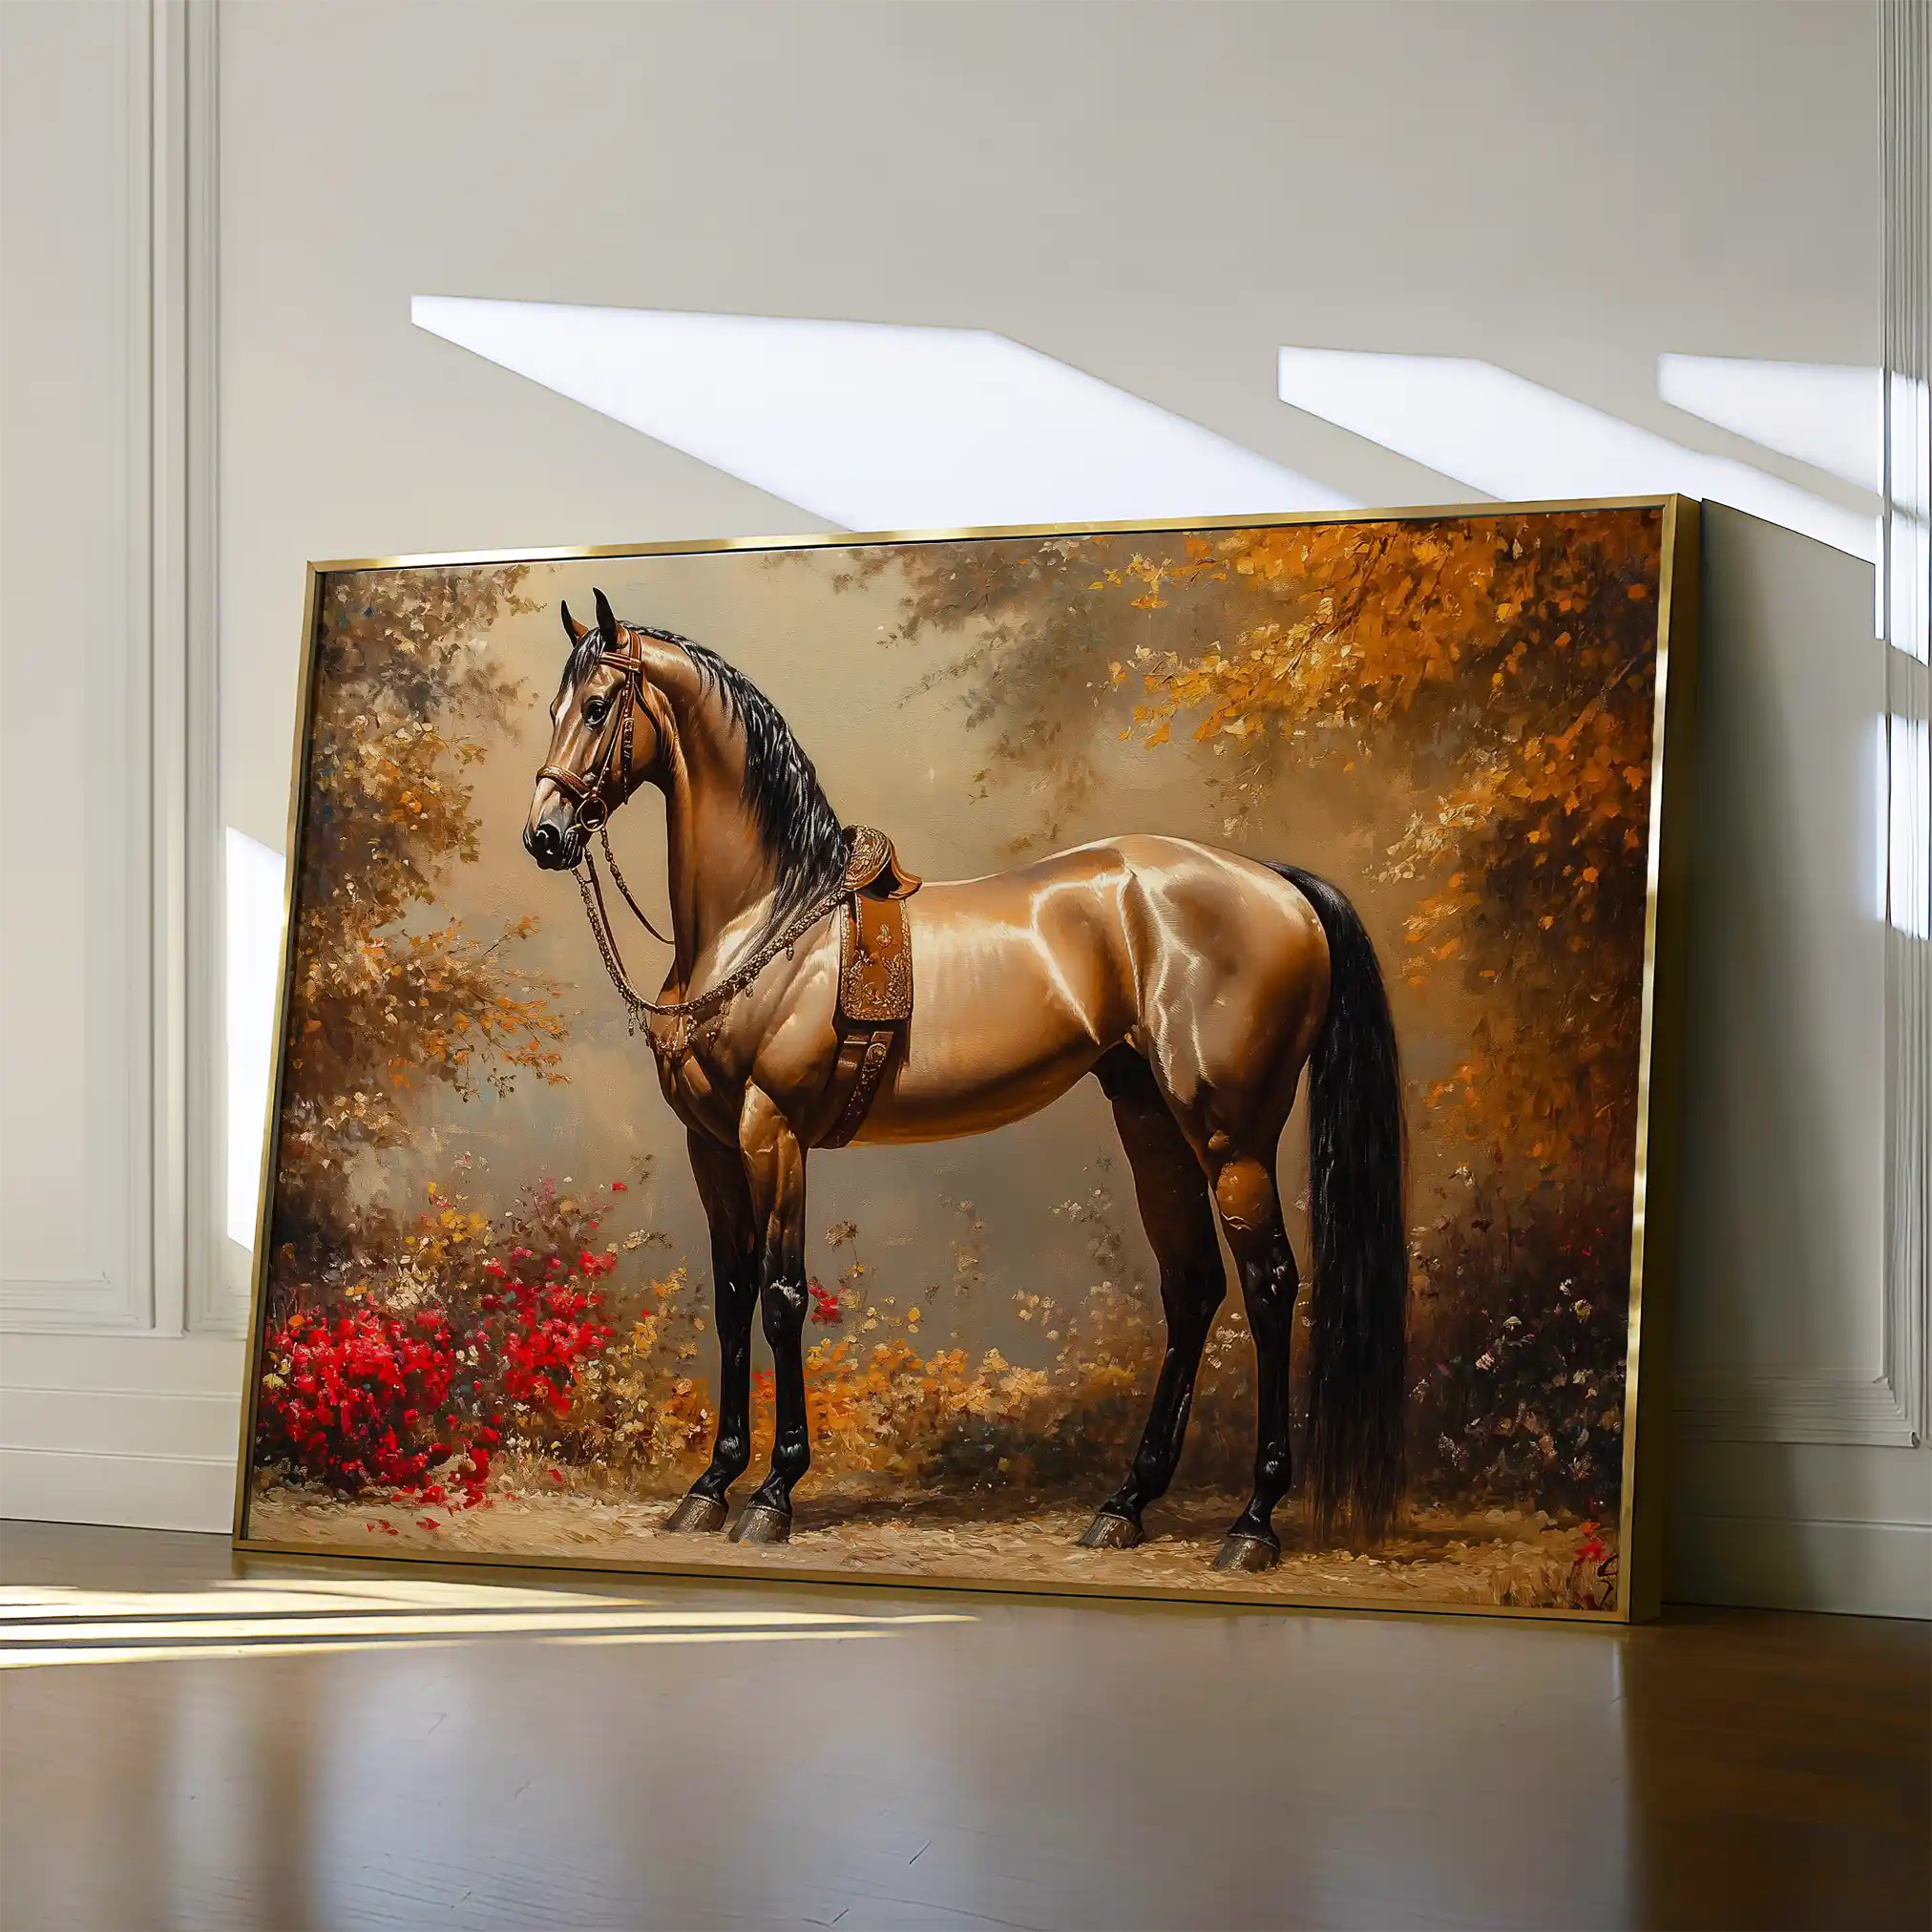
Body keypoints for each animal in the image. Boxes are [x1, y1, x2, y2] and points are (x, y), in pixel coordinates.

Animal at [523, 588, 1408, 1570]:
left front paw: (774, 1493)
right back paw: (1125, 1505)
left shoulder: (772, 1133)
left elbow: (783, 1300)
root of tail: (1278, 884)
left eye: (598, 707)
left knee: (1271, 1286)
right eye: (553, 708)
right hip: (1151, 1121)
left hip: (1233, 1137)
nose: (544, 835)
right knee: (1193, 1288)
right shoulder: (710, 1145)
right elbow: (731, 1296)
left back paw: (1253, 1522)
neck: (764, 918)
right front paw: (709, 1486)